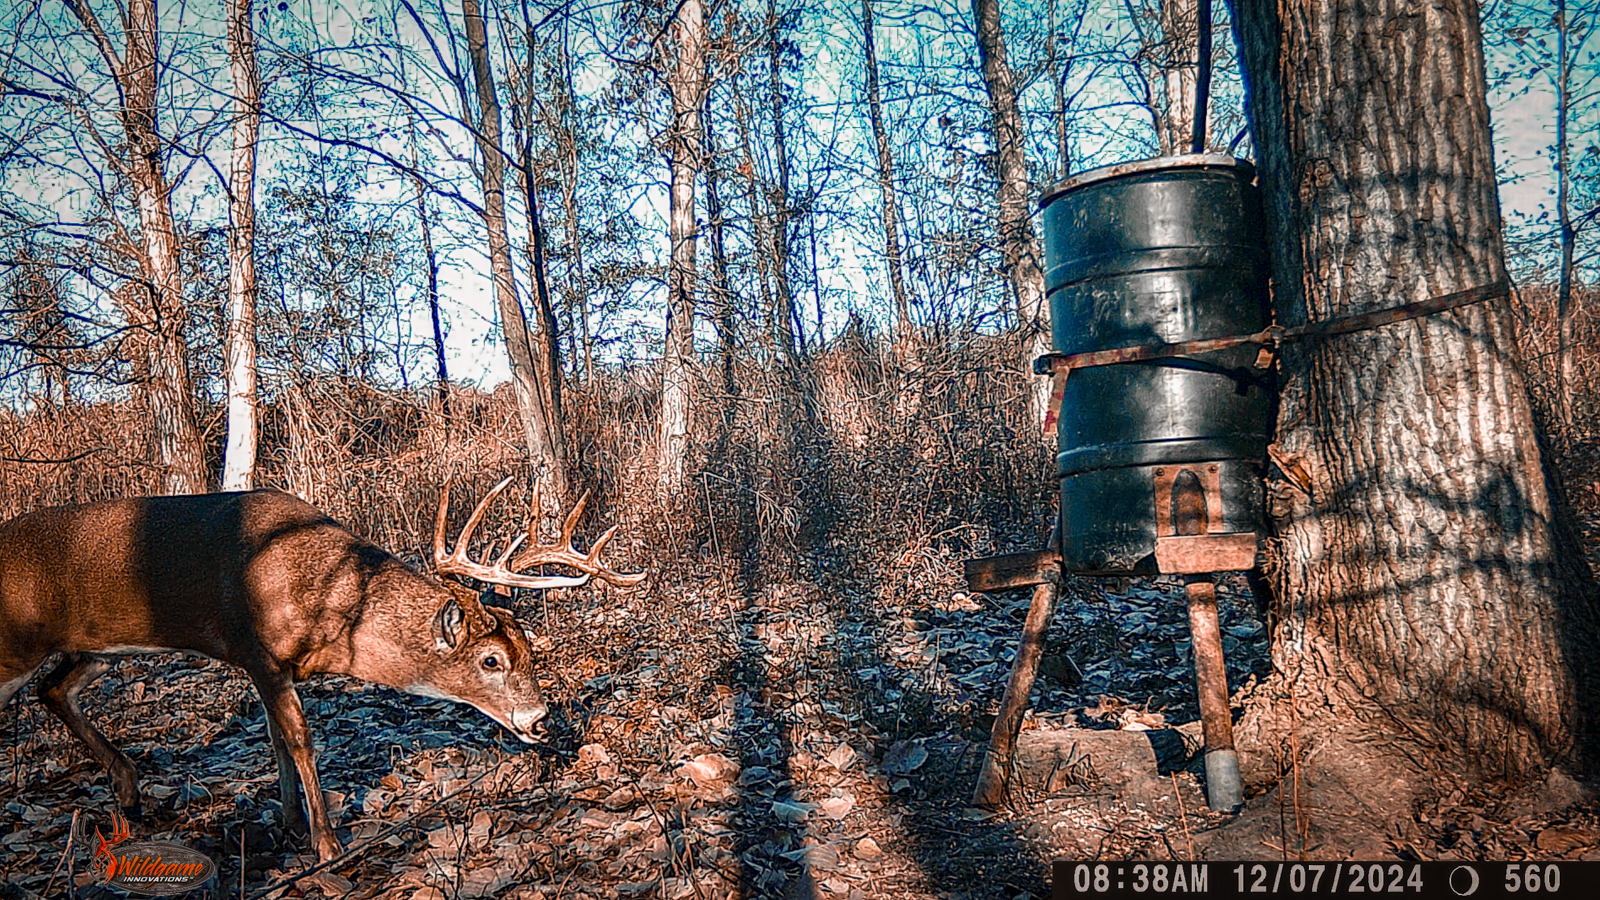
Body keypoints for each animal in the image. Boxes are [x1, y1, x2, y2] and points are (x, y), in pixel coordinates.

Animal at [0, 477, 643, 863]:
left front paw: (289, 822)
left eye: (530, 648)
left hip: (99, 648)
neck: (335, 606)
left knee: (54, 689)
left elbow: (275, 740)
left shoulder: (269, 667)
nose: (539, 719)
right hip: (15, 646)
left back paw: (131, 791)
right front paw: (329, 843)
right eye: (491, 659)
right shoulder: (258, 651)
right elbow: (301, 739)